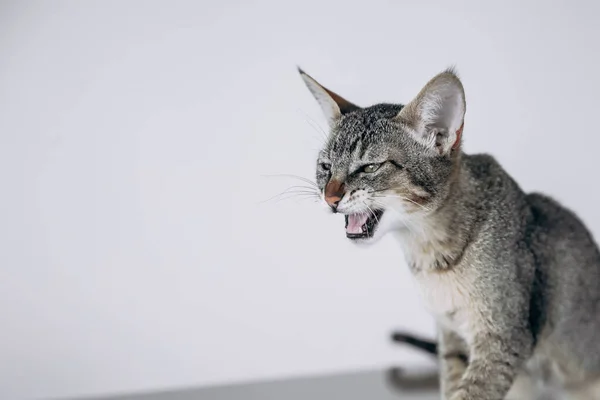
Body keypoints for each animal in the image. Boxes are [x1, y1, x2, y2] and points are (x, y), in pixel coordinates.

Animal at [300, 68, 600, 400]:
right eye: (325, 166)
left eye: (369, 167)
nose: (329, 197)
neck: (431, 256)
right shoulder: (451, 336)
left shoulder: (504, 338)